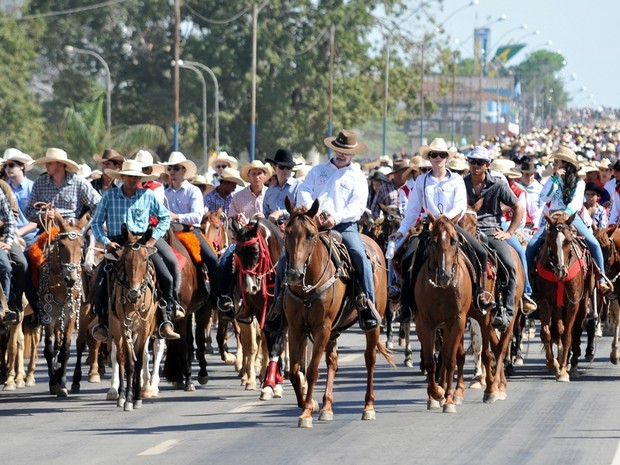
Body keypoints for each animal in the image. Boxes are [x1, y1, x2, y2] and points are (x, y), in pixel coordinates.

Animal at [29, 209, 89, 396]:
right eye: (61, 245)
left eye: (82, 245)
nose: (72, 279)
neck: (60, 283)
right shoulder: (48, 313)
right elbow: (49, 349)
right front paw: (53, 382)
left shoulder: (71, 312)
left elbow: (66, 348)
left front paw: (62, 383)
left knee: (75, 344)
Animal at [109, 225, 157, 410]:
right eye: (125, 259)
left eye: (144, 259)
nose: (133, 293)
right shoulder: (124, 326)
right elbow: (129, 363)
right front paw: (128, 398)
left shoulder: (144, 329)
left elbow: (138, 363)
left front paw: (137, 397)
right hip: (117, 328)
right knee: (121, 357)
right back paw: (122, 394)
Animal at [234, 216, 284, 396]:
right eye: (237, 253)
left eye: (255, 252)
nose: (250, 287)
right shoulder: (258, 311)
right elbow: (263, 344)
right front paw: (268, 382)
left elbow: (276, 344)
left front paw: (275, 384)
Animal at [282, 198, 392, 426]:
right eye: (287, 232)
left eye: (311, 234)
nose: (294, 274)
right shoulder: (296, 329)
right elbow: (296, 371)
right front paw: (308, 404)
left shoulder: (322, 328)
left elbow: (312, 370)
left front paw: (306, 411)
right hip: (332, 331)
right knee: (332, 361)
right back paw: (326, 407)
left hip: (372, 324)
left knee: (370, 359)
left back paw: (368, 407)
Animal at [536, 210, 592, 380]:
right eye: (550, 241)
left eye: (568, 241)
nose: (560, 271)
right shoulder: (546, 302)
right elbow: (546, 333)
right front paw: (553, 364)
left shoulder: (573, 303)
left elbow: (568, 335)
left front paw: (562, 371)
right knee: (559, 329)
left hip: (583, 302)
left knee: (577, 329)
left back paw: (571, 365)